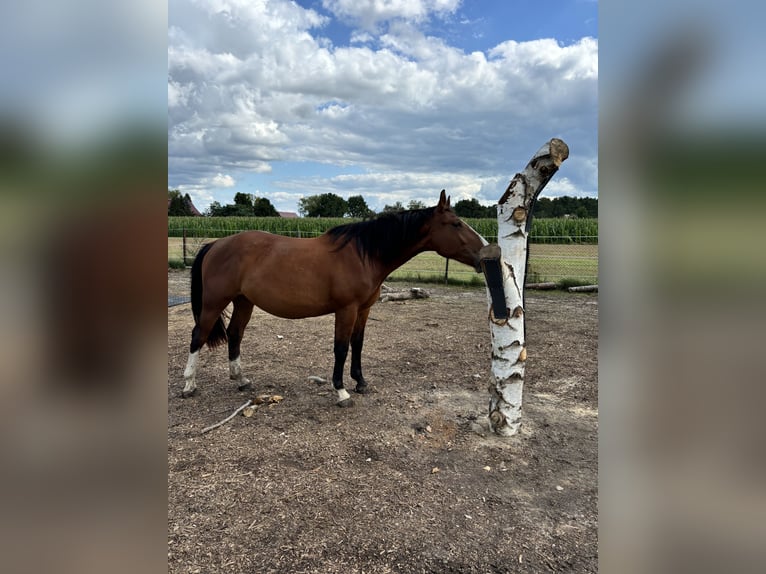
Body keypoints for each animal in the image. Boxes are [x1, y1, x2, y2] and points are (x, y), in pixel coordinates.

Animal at [182, 191, 486, 408]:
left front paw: (360, 382)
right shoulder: (346, 309)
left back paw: (241, 379)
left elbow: (358, 344)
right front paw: (341, 391)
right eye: (456, 223)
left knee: (235, 334)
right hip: (214, 303)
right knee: (198, 335)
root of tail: (216, 244)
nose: (486, 251)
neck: (363, 254)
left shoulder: (363, 310)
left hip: (244, 301)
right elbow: (341, 348)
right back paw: (188, 385)